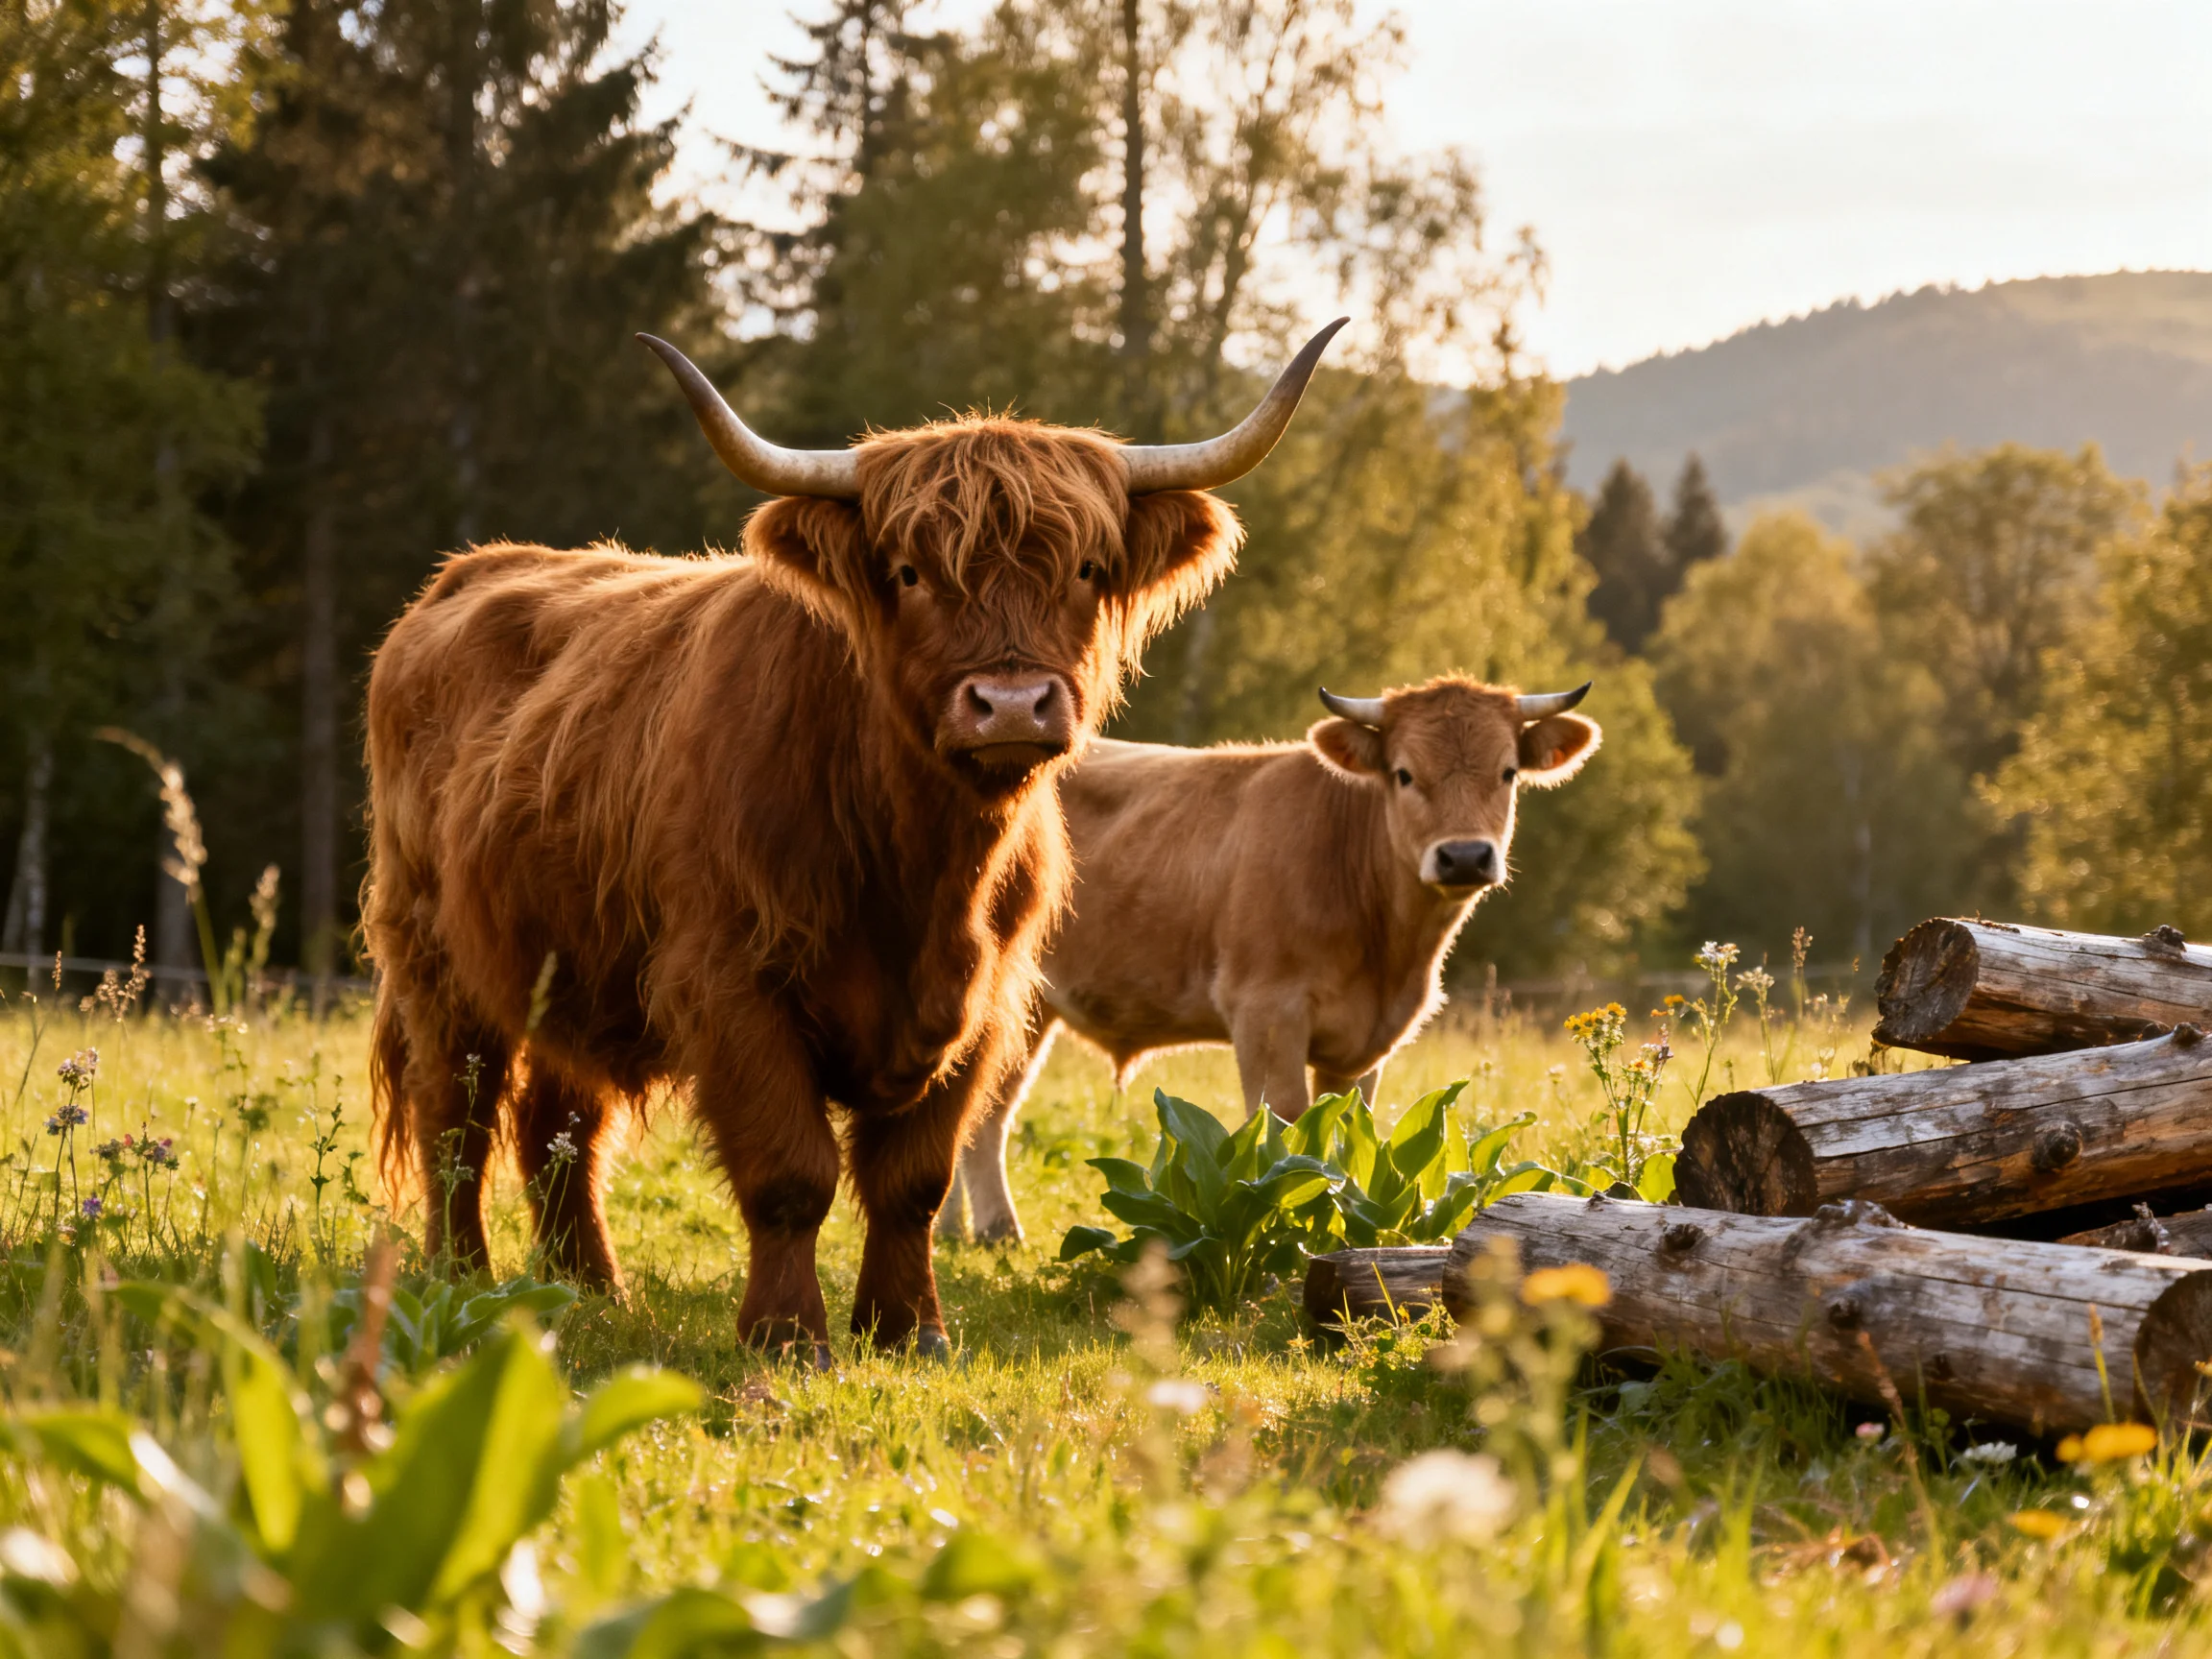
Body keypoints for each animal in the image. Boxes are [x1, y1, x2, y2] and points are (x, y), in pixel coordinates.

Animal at [362, 320, 1344, 1361]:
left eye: (1084, 569)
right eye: (909, 574)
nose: (1010, 705)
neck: (920, 874)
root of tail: (472, 570)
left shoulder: (986, 1002)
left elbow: (913, 1181)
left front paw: (910, 1329)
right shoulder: (730, 984)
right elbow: (792, 1174)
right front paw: (788, 1334)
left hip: (573, 964)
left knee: (562, 1124)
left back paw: (591, 1291)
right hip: (433, 956)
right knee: (455, 1119)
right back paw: (463, 1280)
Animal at [941, 675, 1600, 1243]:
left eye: (1508, 772)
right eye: (1405, 774)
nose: (1464, 856)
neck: (1388, 953)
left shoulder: (1365, 1045)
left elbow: (1349, 1130)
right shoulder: (1266, 1011)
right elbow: (1285, 1131)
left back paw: (965, 1229)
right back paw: (983, 1229)